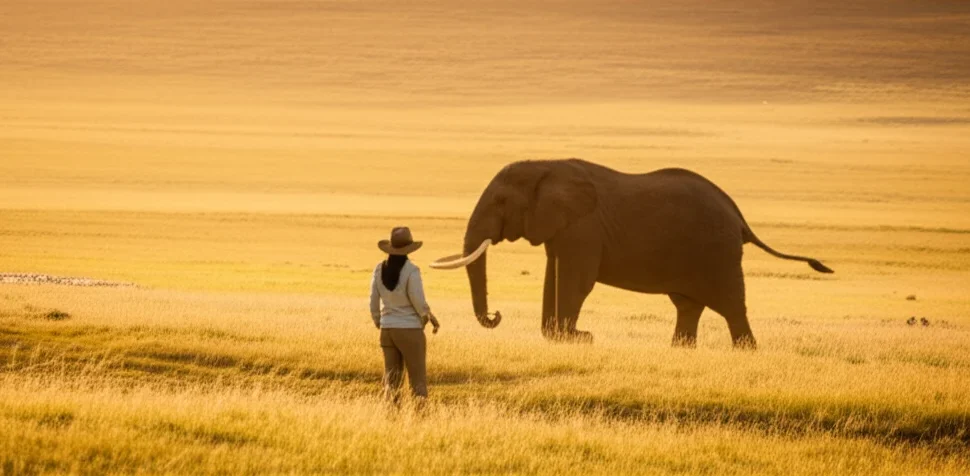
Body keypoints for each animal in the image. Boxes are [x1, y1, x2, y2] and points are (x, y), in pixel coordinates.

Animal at [430, 158, 833, 348]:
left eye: (501, 201)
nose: (496, 315)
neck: (547, 165)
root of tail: (739, 215)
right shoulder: (563, 228)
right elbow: (555, 273)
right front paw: (567, 338)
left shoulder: (584, 227)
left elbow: (576, 280)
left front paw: (579, 338)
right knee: (688, 305)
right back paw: (681, 351)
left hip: (717, 251)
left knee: (731, 305)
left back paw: (744, 351)